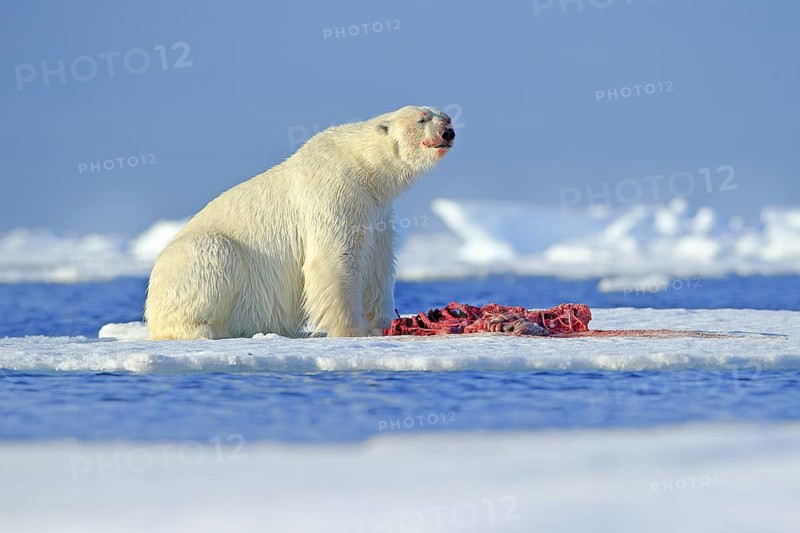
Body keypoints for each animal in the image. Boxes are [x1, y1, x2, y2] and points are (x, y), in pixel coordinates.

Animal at [144, 105, 455, 340]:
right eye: (421, 119)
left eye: (446, 117)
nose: (448, 132)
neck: (365, 168)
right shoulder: (335, 192)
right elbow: (335, 259)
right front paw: (353, 329)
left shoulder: (376, 210)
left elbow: (378, 265)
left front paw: (384, 322)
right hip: (195, 261)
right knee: (215, 254)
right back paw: (205, 330)